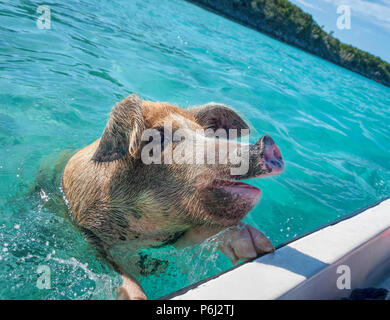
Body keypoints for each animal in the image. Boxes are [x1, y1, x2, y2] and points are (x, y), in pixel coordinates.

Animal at [62, 94, 284, 298]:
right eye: (158, 138)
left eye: (205, 134)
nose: (267, 143)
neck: (144, 235)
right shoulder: (89, 232)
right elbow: (117, 272)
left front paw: (261, 247)